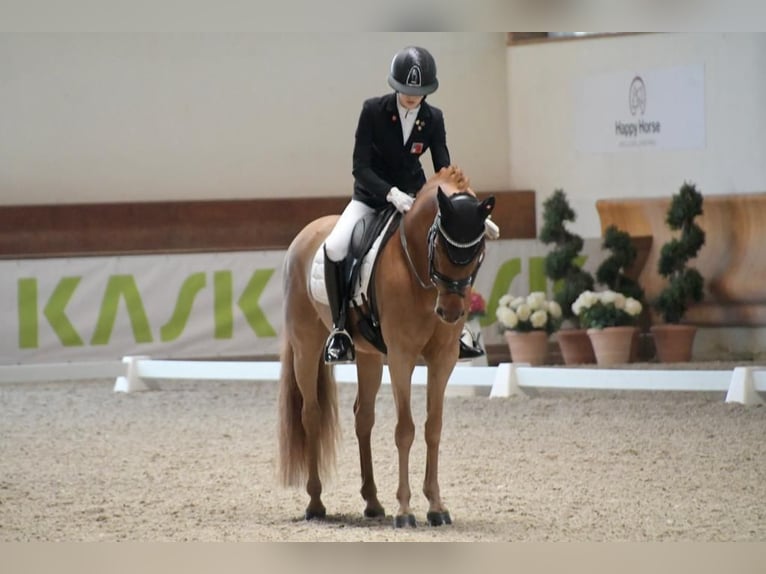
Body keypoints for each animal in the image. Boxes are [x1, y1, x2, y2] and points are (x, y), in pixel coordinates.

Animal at [280, 165, 496, 528]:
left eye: (478, 251)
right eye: (439, 244)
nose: (451, 312)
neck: (420, 274)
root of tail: (303, 236)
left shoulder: (443, 359)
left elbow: (433, 427)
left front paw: (436, 506)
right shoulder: (401, 357)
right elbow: (405, 429)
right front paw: (405, 510)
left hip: (368, 356)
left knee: (362, 417)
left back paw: (372, 502)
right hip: (306, 346)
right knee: (311, 414)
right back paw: (316, 503)